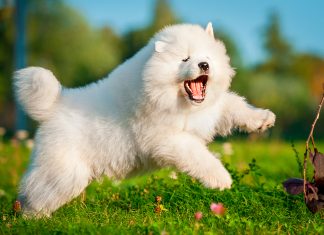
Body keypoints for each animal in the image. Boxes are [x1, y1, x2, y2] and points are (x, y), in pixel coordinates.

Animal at [13, 22, 276, 217]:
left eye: (207, 56)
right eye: (185, 59)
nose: (204, 64)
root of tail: (54, 105)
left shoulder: (210, 111)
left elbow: (235, 107)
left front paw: (263, 119)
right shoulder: (168, 139)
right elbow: (199, 156)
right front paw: (221, 179)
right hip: (66, 173)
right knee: (35, 194)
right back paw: (32, 219)